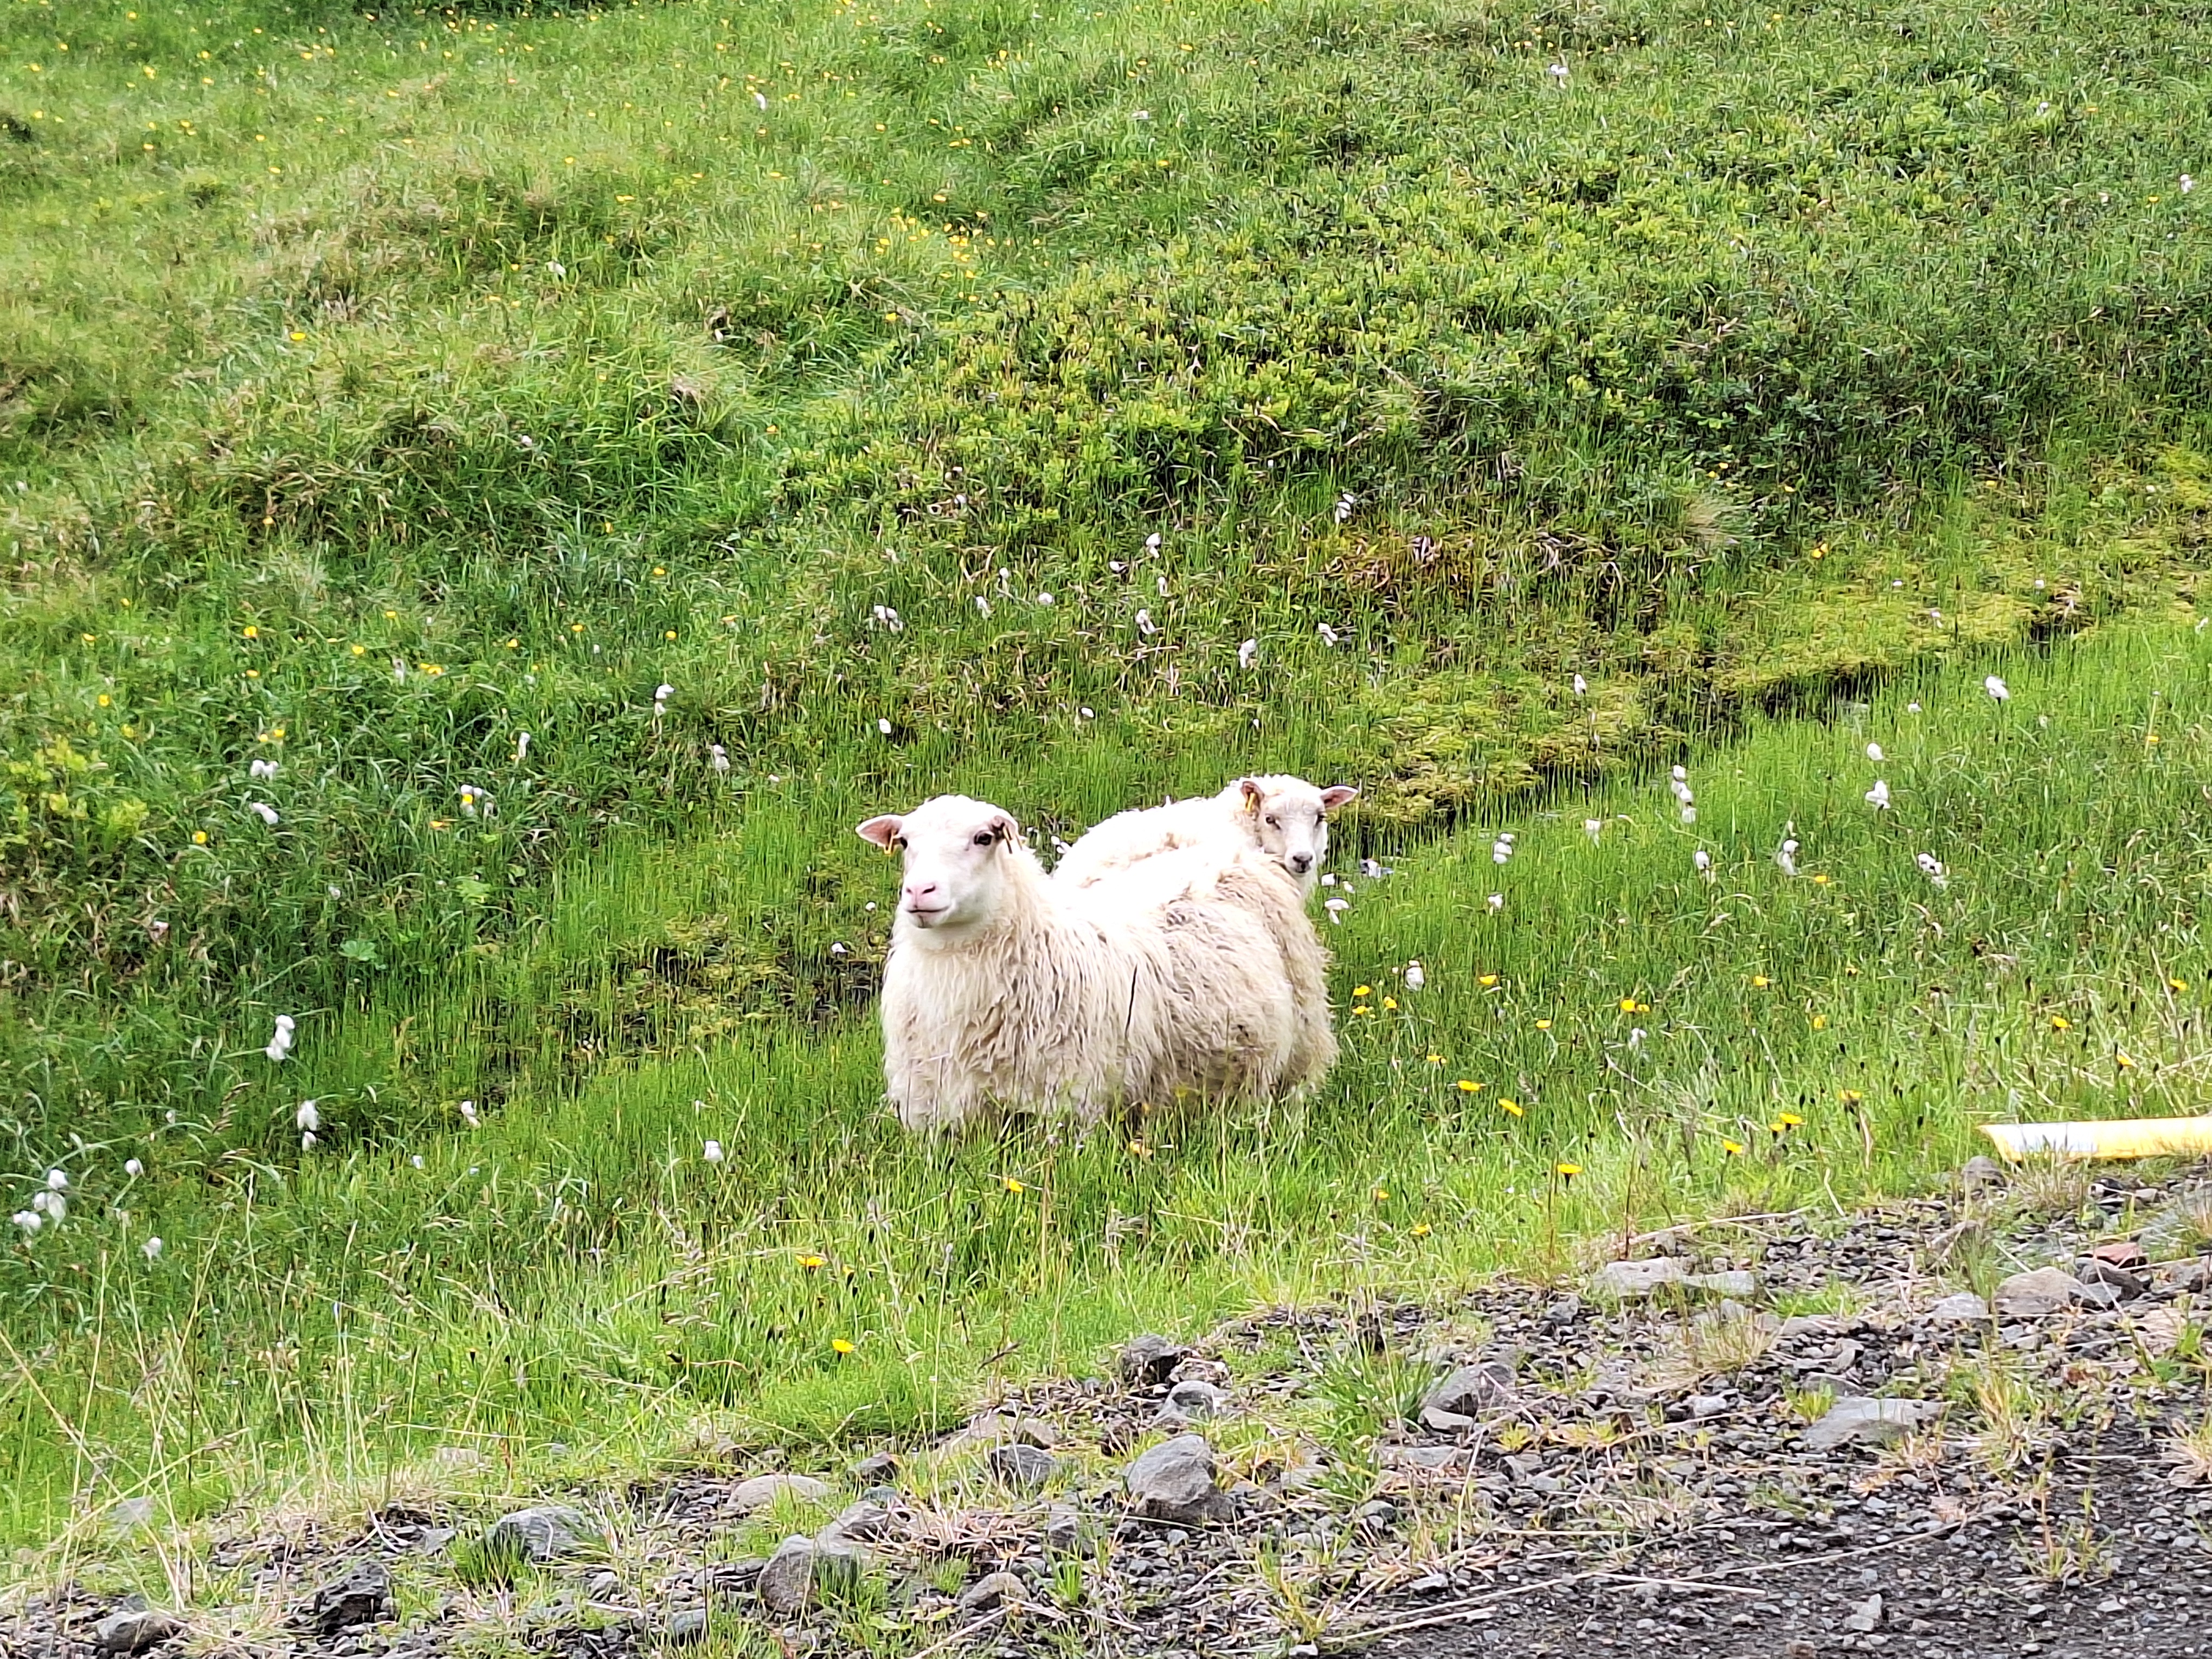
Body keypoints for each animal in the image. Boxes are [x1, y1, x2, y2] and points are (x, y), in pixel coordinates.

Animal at [856, 794, 1336, 1132]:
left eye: (983, 838)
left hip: (1301, 1036)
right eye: (905, 843)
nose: (920, 891)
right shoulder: (932, 1109)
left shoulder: (1069, 1102)